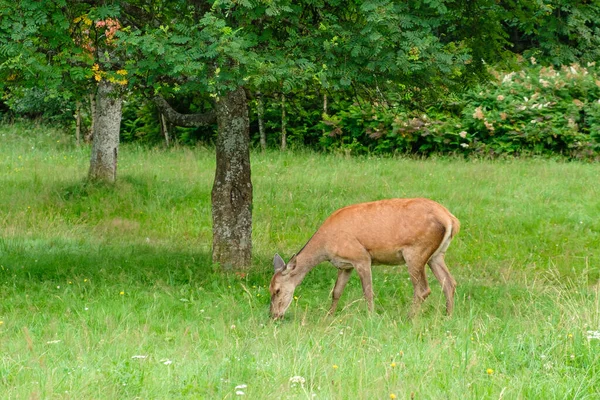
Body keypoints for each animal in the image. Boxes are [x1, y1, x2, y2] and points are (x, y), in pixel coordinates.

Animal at [268, 198, 460, 320]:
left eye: (277, 290)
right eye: (269, 289)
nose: (273, 315)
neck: (326, 245)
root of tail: (451, 219)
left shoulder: (361, 257)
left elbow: (368, 292)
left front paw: (370, 316)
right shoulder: (345, 265)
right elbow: (336, 291)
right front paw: (329, 316)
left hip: (416, 251)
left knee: (423, 289)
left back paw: (410, 317)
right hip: (436, 255)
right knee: (449, 282)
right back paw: (448, 316)